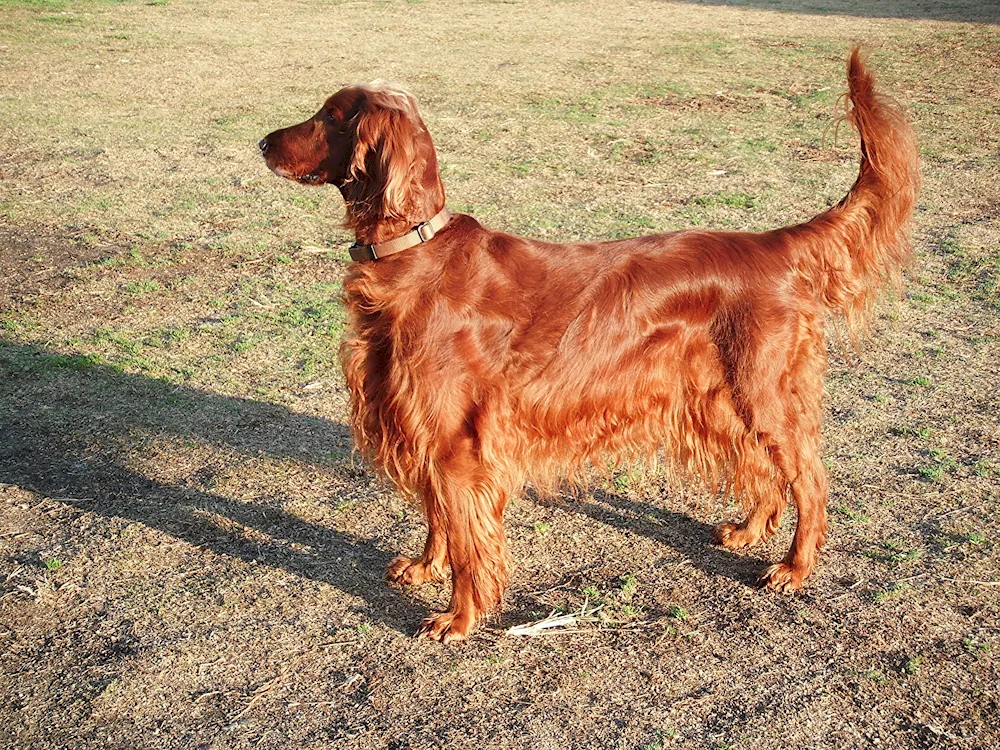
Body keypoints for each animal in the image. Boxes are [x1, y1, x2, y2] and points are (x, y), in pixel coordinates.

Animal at [262, 47, 916, 644]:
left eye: (329, 116)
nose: (263, 142)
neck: (414, 251)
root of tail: (773, 244)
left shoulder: (455, 440)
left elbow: (466, 534)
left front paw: (460, 617)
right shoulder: (422, 423)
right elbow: (439, 517)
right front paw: (427, 567)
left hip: (763, 390)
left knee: (809, 478)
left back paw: (794, 568)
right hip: (720, 395)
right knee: (763, 466)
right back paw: (749, 530)